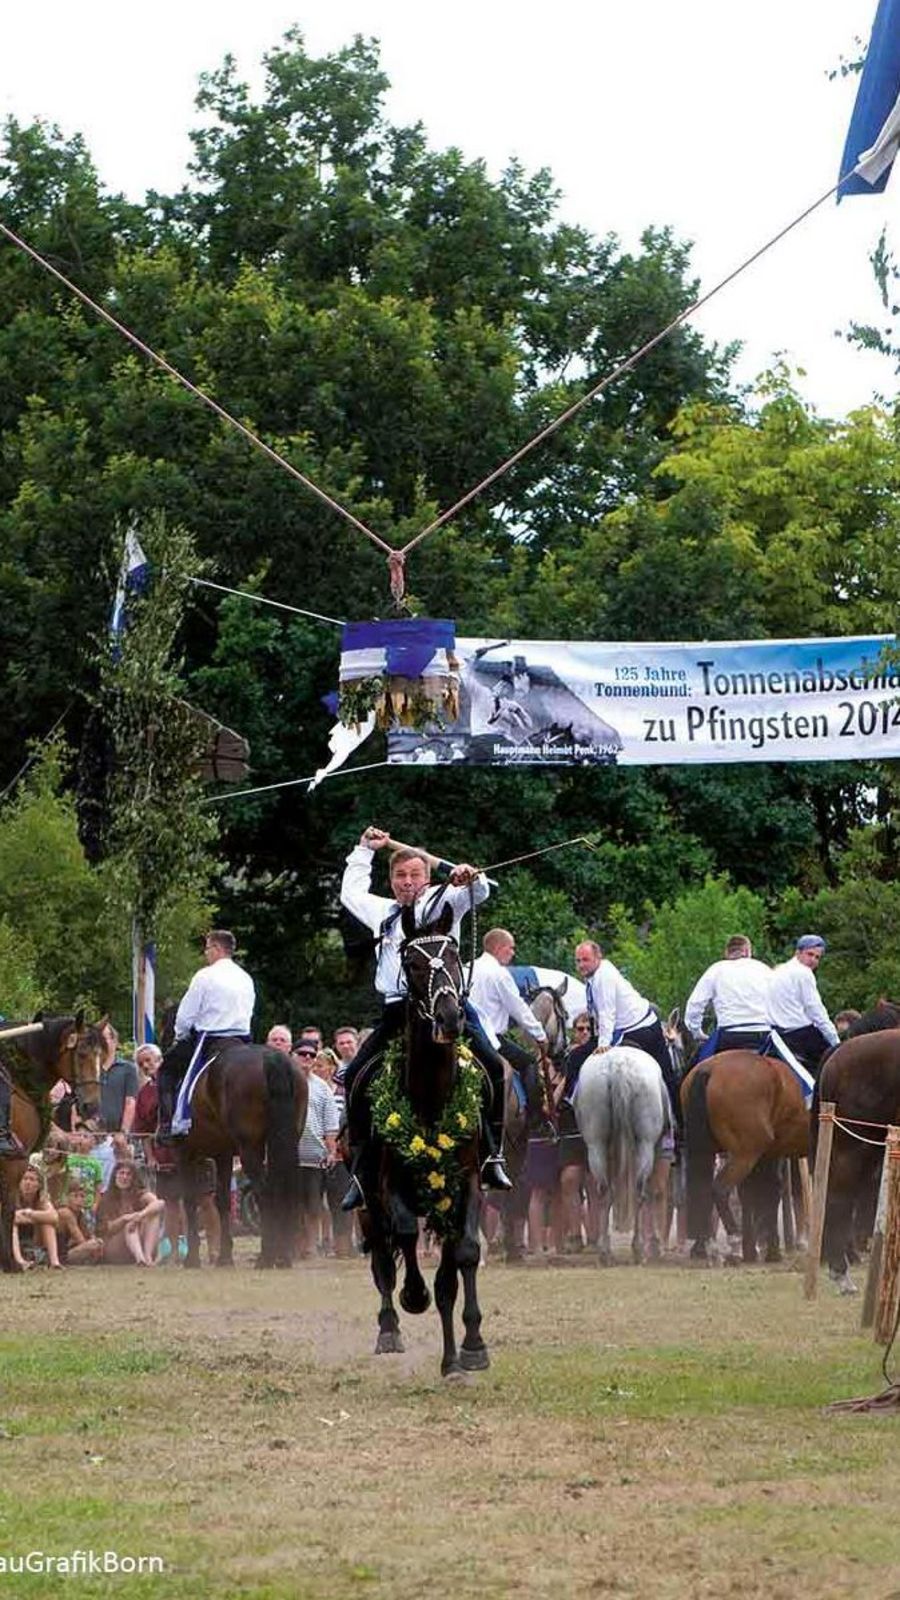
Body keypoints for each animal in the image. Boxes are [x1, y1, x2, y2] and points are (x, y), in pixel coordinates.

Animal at [0, 1017, 102, 1267]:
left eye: (101, 1055)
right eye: (82, 1053)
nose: (92, 1106)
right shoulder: (15, 1162)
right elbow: (8, 1208)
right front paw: (10, 1263)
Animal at [175, 1043, 307, 1267]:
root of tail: (272, 1058)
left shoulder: (185, 1154)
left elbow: (190, 1200)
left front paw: (192, 1258)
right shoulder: (223, 1155)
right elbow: (223, 1200)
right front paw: (225, 1256)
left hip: (250, 1149)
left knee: (264, 1193)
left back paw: (266, 1257)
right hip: (284, 1144)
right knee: (284, 1190)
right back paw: (282, 1256)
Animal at [355, 908, 486, 1382]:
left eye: (454, 956)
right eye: (411, 963)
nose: (449, 1018)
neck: (430, 1098)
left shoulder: (465, 1185)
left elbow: (462, 1260)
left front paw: (467, 1350)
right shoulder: (390, 1184)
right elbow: (407, 1236)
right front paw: (414, 1295)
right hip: (366, 1200)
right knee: (381, 1257)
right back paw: (389, 1328)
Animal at [679, 1049, 807, 1260]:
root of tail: (709, 1070)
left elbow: (749, 1194)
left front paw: (753, 1248)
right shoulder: (770, 1154)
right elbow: (771, 1191)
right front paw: (771, 1249)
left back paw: (702, 1247)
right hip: (744, 1156)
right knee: (720, 1189)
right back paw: (734, 1242)